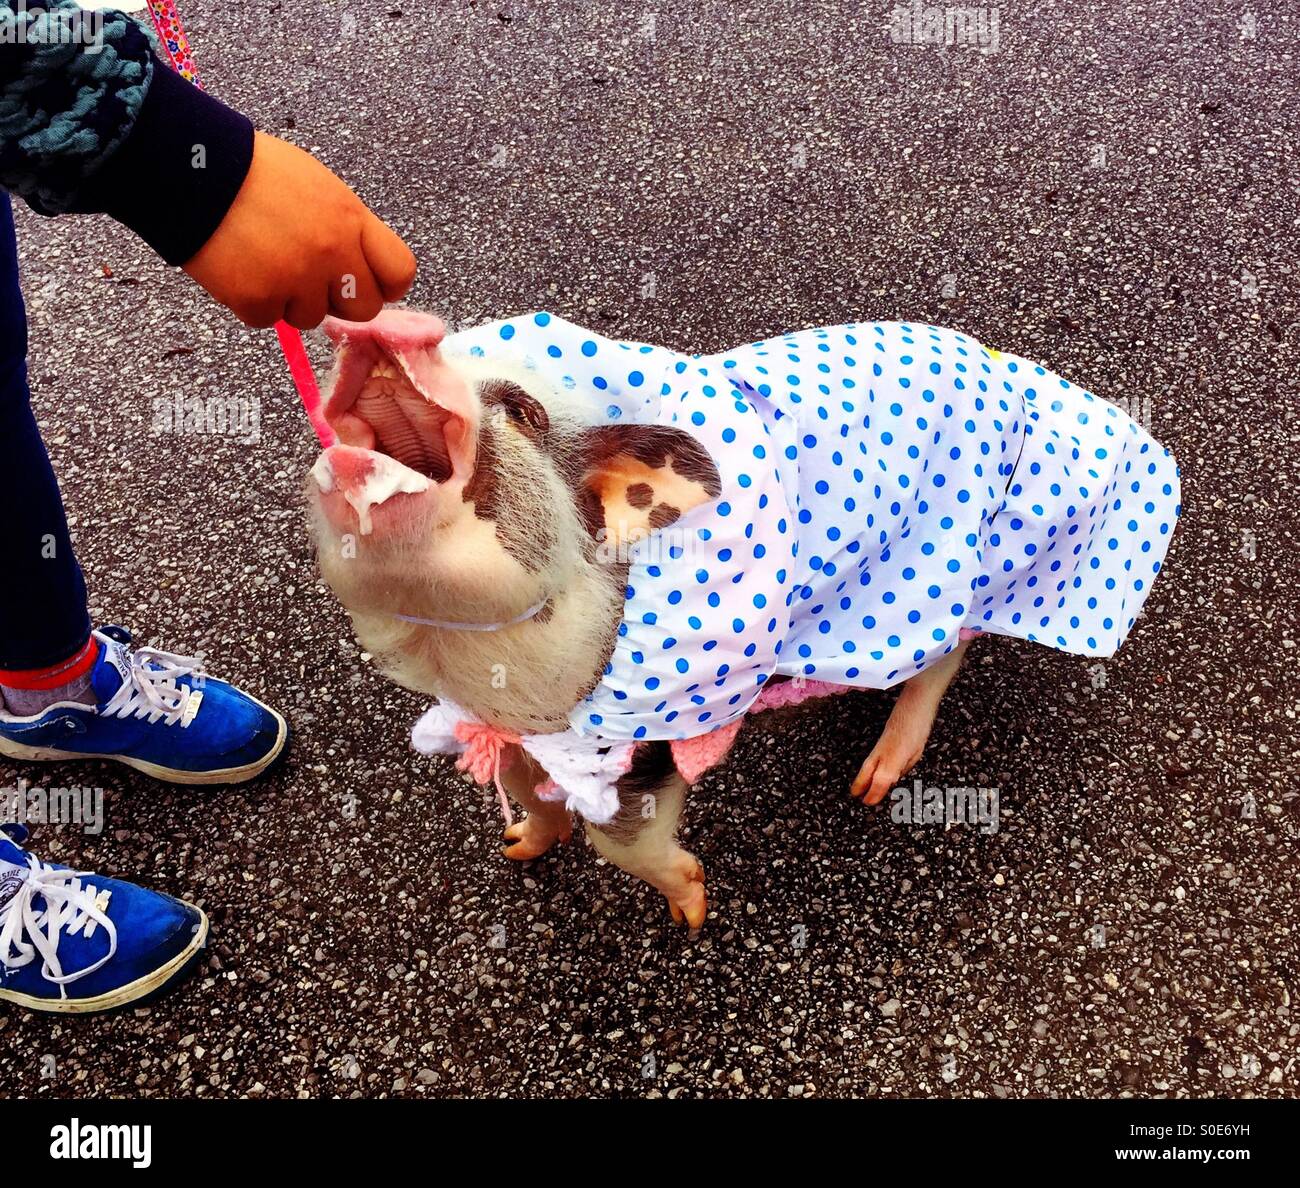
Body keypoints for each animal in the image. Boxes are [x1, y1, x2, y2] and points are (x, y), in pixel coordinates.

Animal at [306, 310, 1180, 928]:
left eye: (523, 412)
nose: (389, 324)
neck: (472, 667)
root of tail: (1020, 377)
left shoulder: (645, 742)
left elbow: (619, 836)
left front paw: (693, 910)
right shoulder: (502, 727)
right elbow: (527, 789)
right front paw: (518, 847)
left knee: (940, 658)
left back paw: (873, 783)